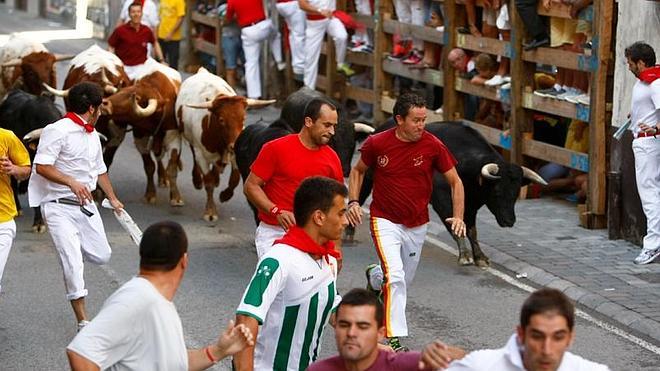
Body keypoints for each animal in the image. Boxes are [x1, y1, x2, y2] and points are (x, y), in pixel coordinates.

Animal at [356, 120, 548, 268]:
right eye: (497, 192)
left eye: (515, 193)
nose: (510, 221)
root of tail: (379, 128)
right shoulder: (442, 200)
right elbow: (454, 225)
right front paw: (465, 255)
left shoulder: (470, 205)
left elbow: (471, 230)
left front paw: (480, 257)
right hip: (366, 177)